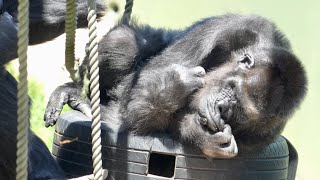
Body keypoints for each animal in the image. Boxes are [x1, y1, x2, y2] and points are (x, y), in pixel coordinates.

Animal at [43, 13, 306, 158]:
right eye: (231, 88)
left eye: (239, 111)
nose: (222, 107)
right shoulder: (230, 28)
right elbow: (136, 99)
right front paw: (173, 87)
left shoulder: (269, 131)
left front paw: (200, 136)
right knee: (124, 43)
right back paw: (75, 92)